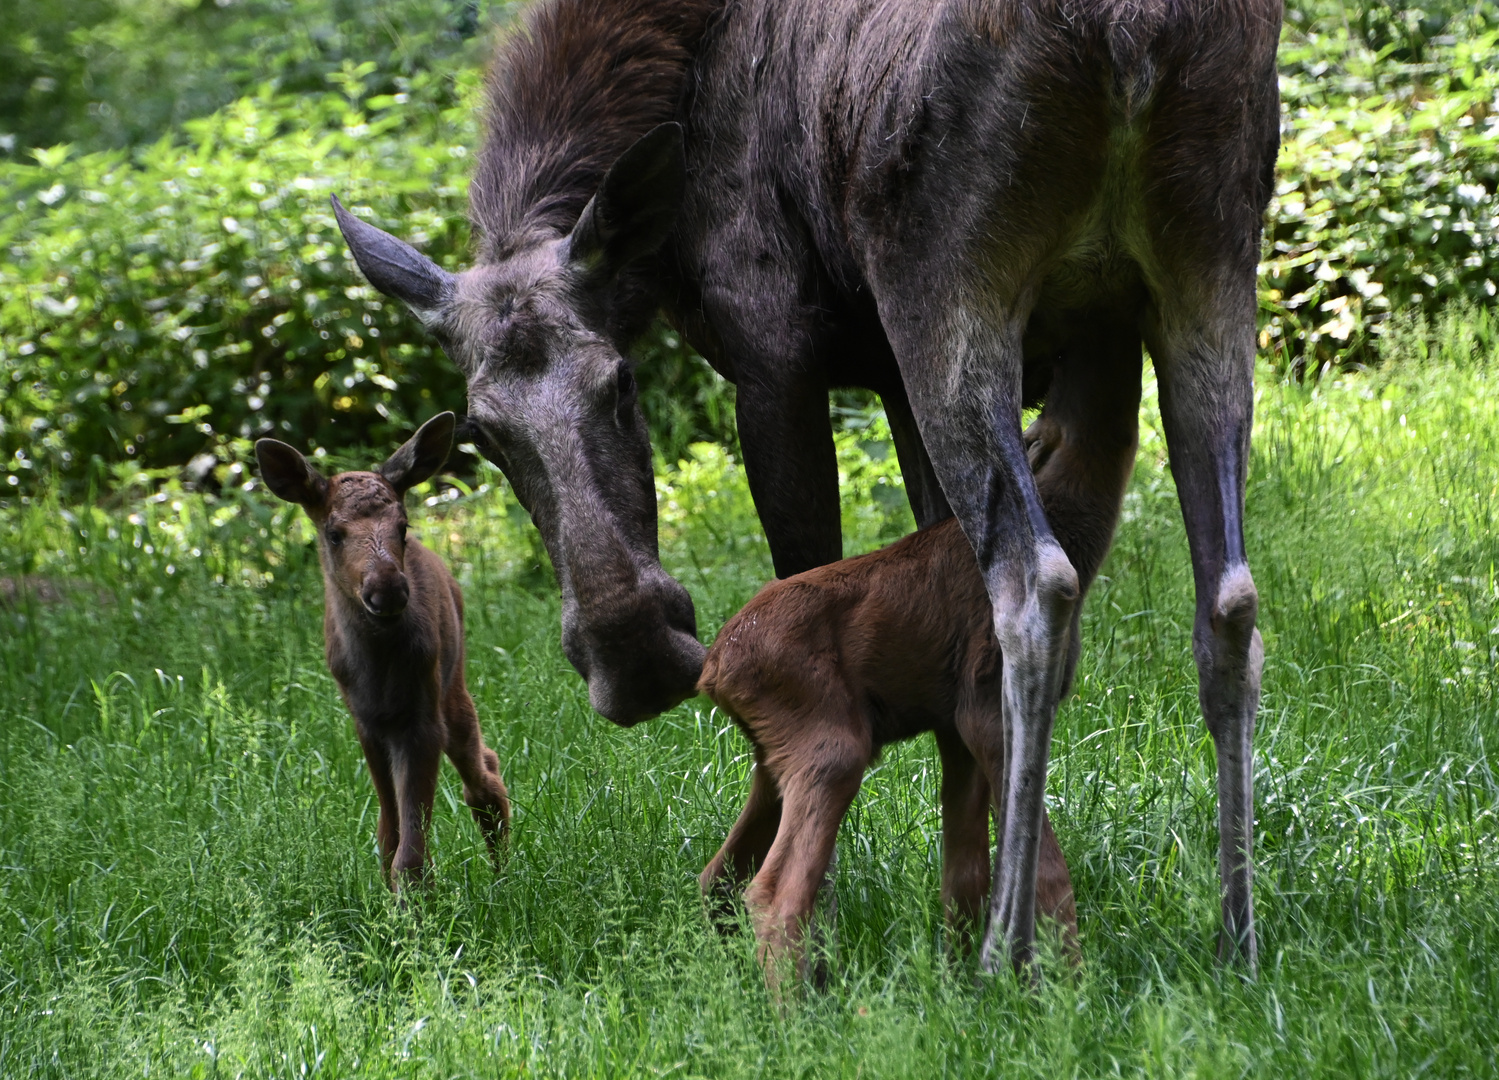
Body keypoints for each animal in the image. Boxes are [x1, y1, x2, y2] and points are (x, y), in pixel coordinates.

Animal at [254, 414, 512, 894]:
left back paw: (503, 873)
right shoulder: (366, 722)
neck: (379, 667)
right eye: (334, 534)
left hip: (453, 686)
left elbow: (410, 841)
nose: (388, 590)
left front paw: (415, 899)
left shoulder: (423, 719)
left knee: (484, 777)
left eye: (402, 526)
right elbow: (389, 829)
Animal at [334, 0, 1283, 972]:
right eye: (482, 434)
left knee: (1034, 587)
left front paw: (799, 907)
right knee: (1228, 603)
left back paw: (1004, 951)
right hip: (1207, 273)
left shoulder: (773, 354)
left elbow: (805, 582)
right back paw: (1234, 942)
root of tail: (1133, 33)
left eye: (622, 381)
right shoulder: (887, 380)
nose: (632, 658)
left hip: (950, 294)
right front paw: (949, 896)